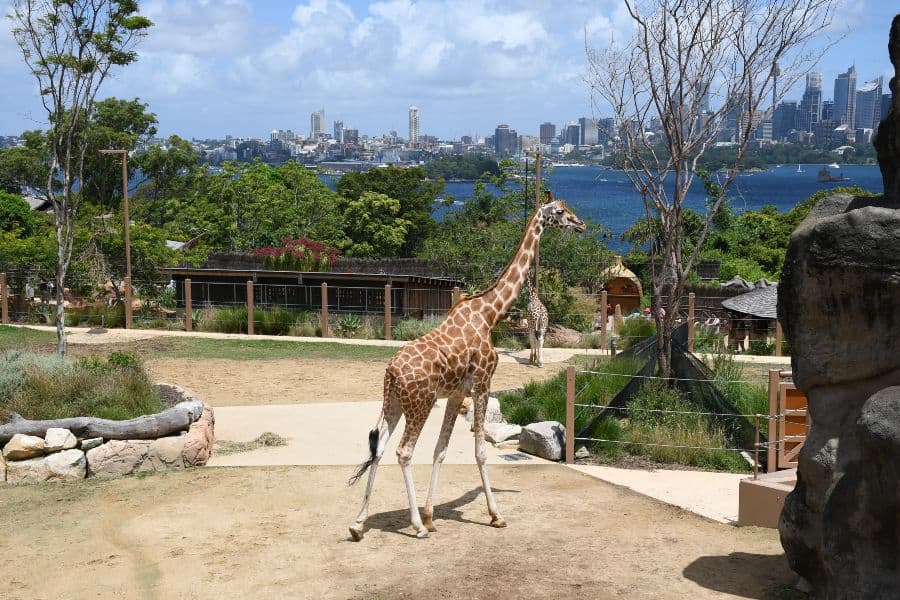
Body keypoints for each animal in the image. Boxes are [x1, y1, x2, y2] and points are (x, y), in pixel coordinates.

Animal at [348, 192, 585, 541]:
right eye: (559, 212)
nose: (581, 224)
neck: (490, 314)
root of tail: (391, 373)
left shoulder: (457, 393)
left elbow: (441, 450)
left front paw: (432, 515)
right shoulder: (483, 383)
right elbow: (480, 451)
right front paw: (495, 515)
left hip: (393, 403)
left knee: (378, 448)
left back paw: (358, 523)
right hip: (420, 403)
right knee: (403, 451)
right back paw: (416, 526)